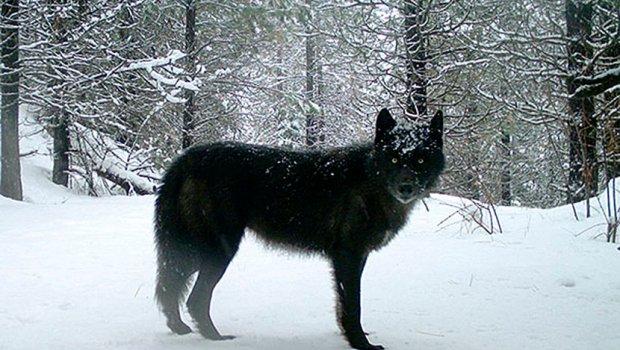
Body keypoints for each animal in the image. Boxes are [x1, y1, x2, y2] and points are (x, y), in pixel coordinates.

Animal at [155, 108, 446, 348]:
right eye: (394, 158)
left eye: (420, 160)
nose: (406, 187)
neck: (370, 181)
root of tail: (186, 158)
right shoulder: (348, 256)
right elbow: (353, 305)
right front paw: (361, 344)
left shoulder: (354, 258)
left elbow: (342, 305)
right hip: (218, 251)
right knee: (193, 297)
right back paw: (215, 337)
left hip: (196, 251)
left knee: (171, 285)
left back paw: (179, 328)